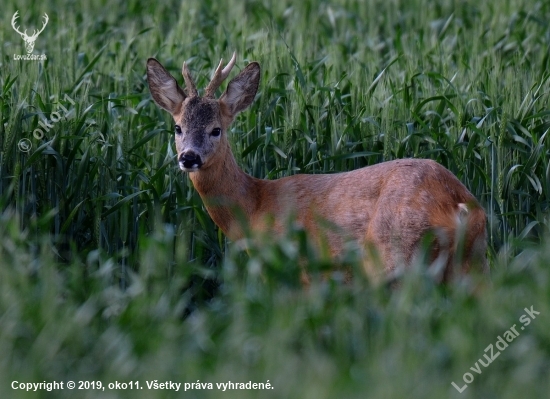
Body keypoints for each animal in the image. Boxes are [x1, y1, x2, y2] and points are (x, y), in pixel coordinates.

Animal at [147, 53, 488, 282]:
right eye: (177, 127)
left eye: (216, 129)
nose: (189, 157)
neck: (254, 207)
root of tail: (460, 205)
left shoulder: (293, 268)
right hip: (471, 265)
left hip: (396, 254)